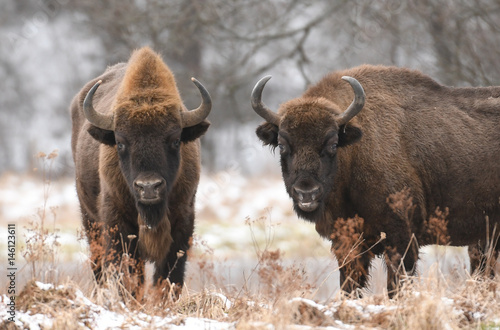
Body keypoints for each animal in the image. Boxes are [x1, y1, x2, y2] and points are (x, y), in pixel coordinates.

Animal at [252, 65, 500, 296]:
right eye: (282, 144)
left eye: (332, 143)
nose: (306, 192)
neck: (355, 151)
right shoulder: (348, 245)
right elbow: (349, 287)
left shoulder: (401, 239)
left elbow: (396, 288)